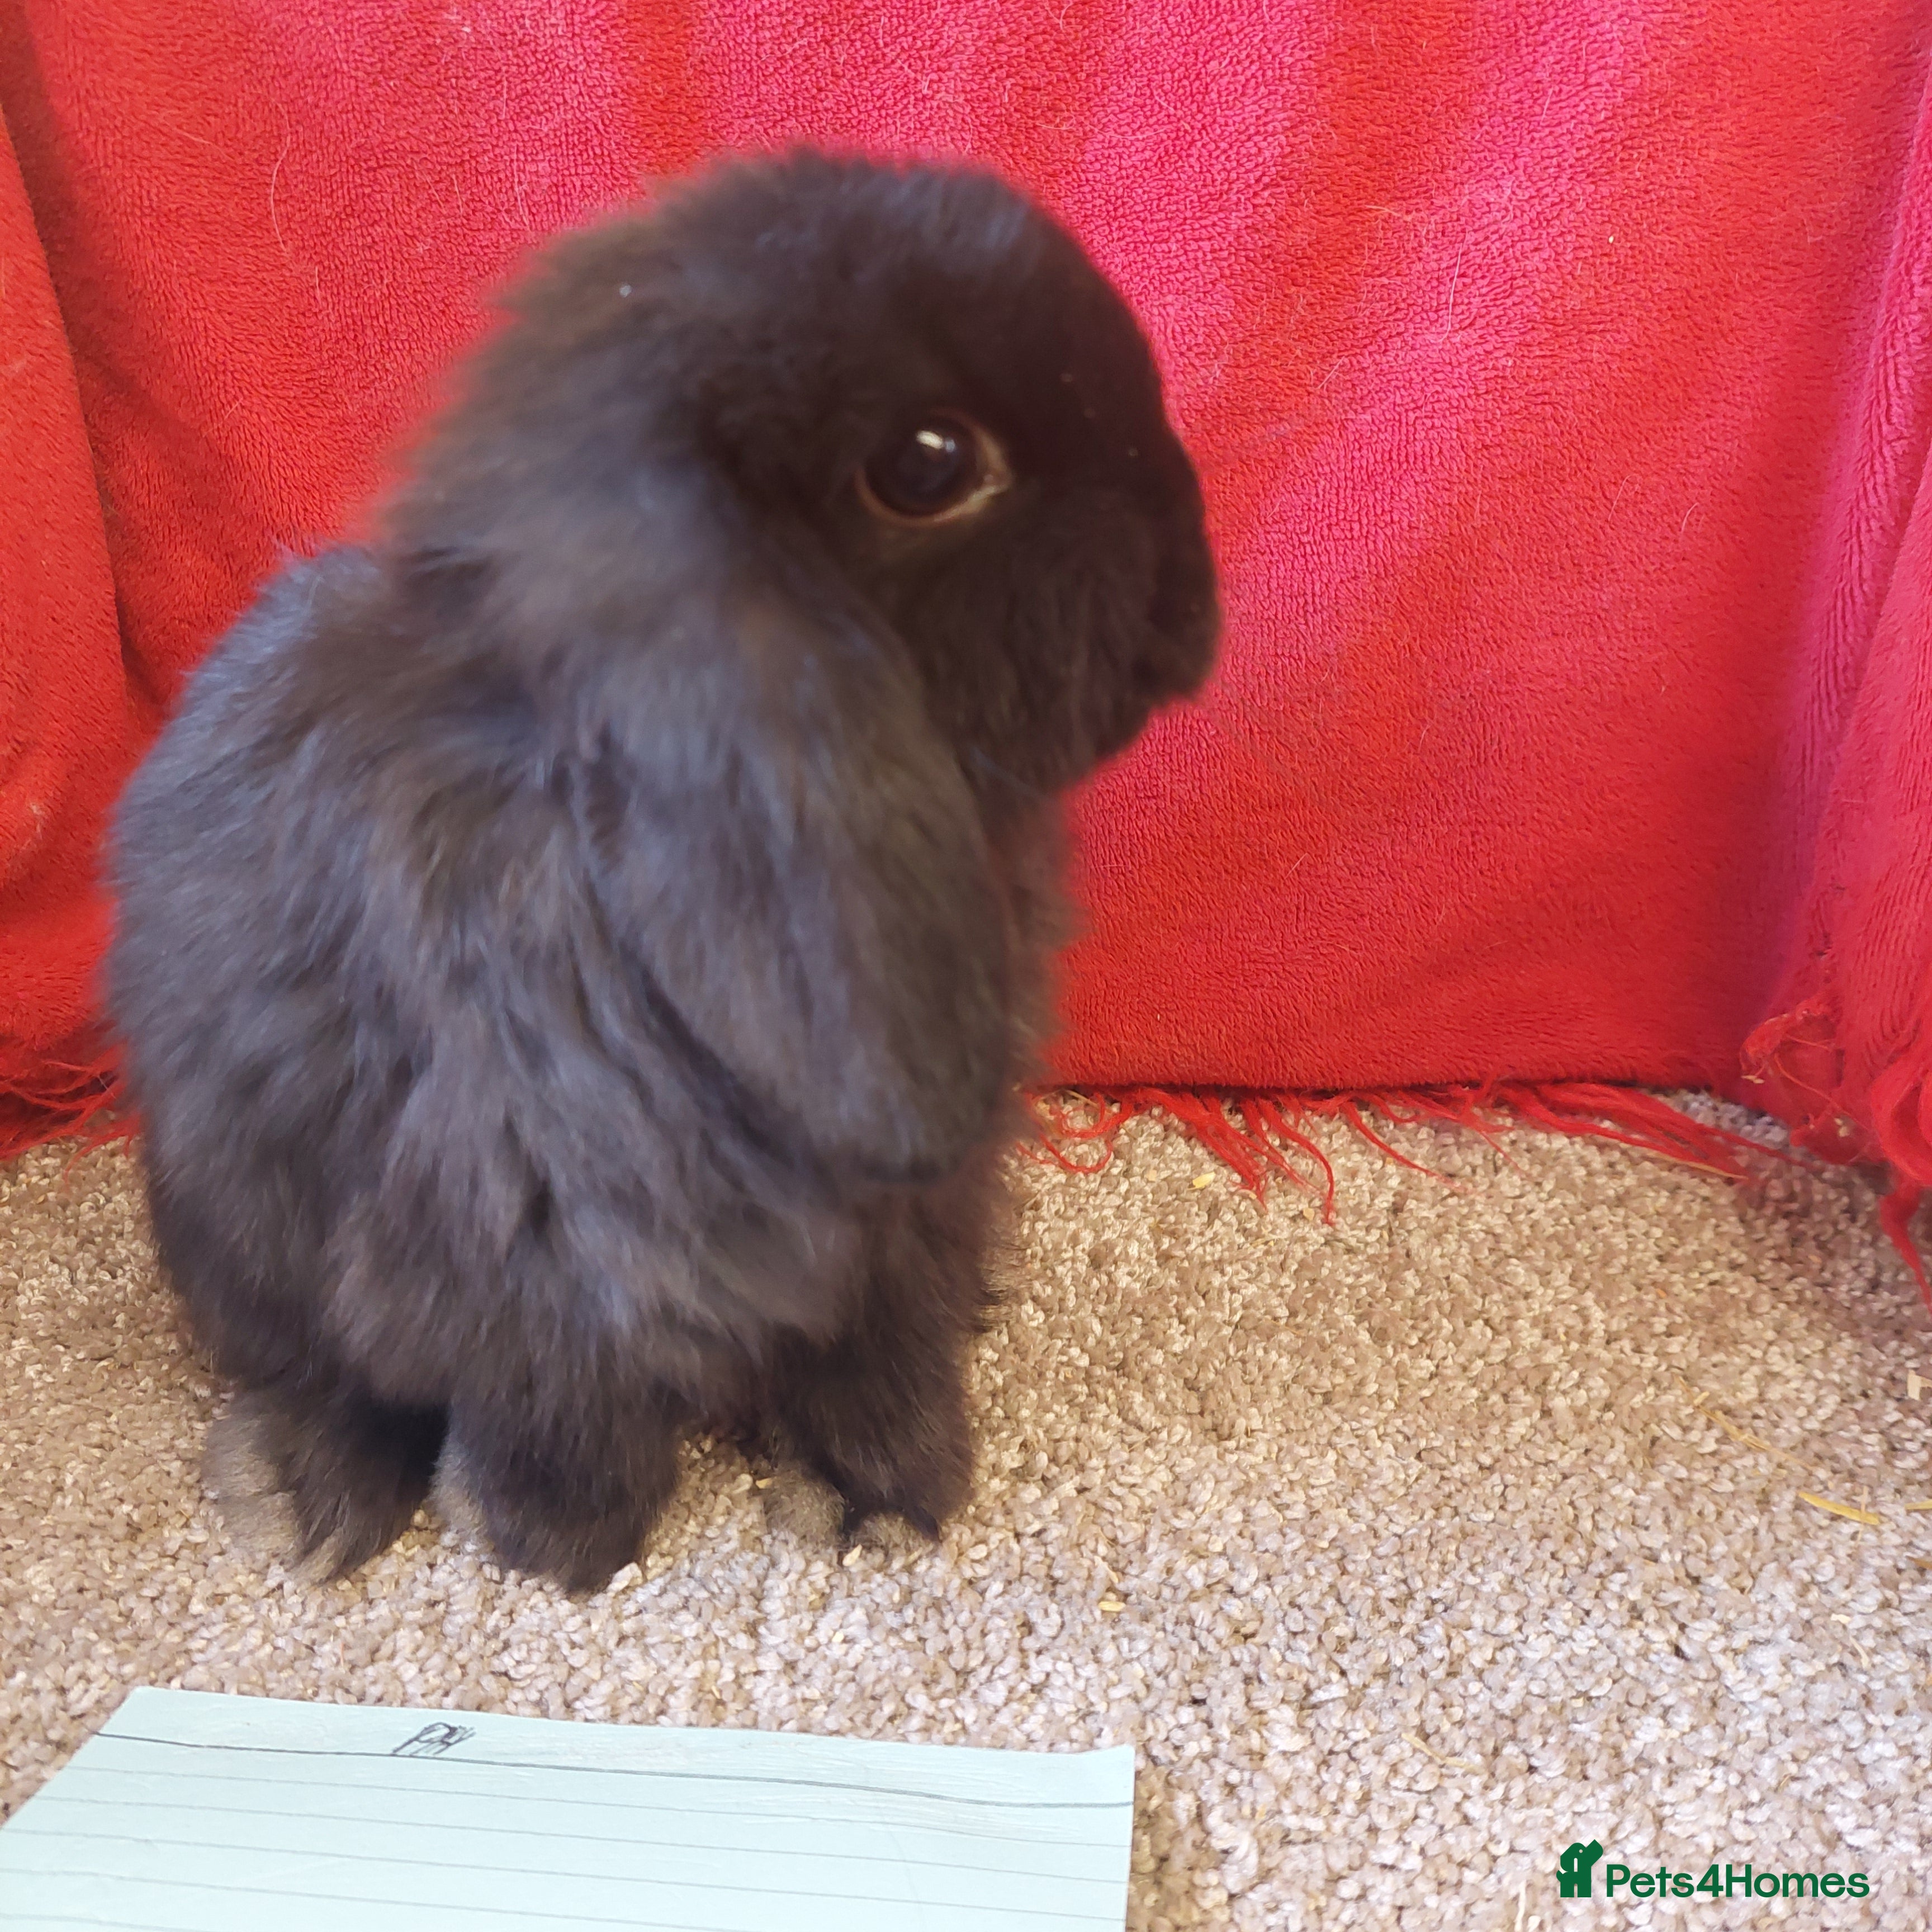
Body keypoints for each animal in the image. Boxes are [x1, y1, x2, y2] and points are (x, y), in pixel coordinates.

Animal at [106, 150, 1219, 1594]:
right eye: (927, 464)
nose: (1190, 601)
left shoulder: (904, 1201)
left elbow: (882, 1335)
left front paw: (876, 1493)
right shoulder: (537, 1225)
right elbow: (554, 1387)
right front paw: (557, 1543)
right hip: (230, 1209)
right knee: (317, 1362)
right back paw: (304, 1502)